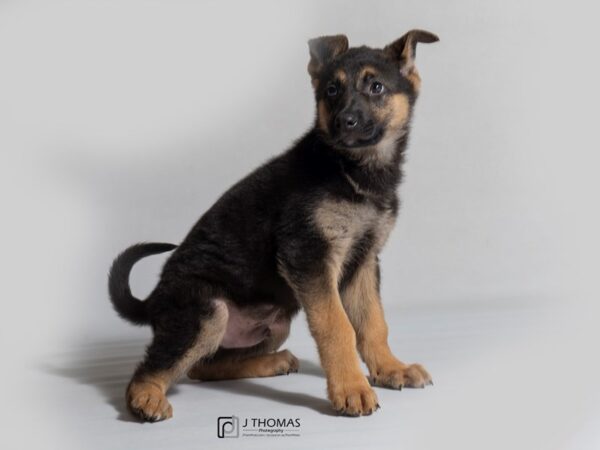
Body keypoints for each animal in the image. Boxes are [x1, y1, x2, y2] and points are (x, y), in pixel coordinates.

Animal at [108, 29, 438, 422]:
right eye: (331, 90)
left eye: (376, 87)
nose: (345, 122)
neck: (352, 171)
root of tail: (155, 299)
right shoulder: (308, 255)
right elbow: (338, 326)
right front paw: (352, 388)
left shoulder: (363, 261)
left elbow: (373, 323)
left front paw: (390, 369)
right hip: (206, 311)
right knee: (153, 368)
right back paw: (147, 397)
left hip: (275, 324)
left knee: (203, 367)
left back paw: (270, 362)